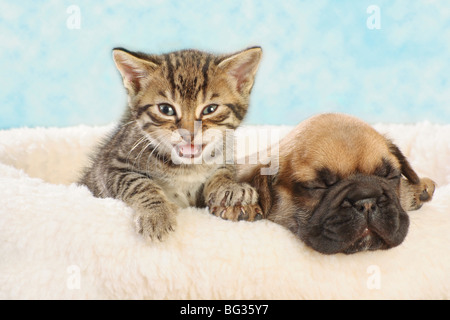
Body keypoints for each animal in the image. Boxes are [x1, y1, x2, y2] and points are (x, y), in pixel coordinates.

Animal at [80, 47, 264, 240]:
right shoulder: (110, 166)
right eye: (166, 109)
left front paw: (230, 186)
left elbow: (223, 170)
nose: (189, 134)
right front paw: (156, 214)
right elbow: (138, 183)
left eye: (210, 109)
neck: (187, 168)